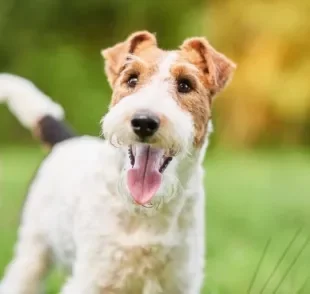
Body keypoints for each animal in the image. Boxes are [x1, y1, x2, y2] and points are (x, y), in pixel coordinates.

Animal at [0, 31, 235, 292]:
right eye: (132, 79)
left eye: (185, 84)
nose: (144, 121)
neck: (145, 210)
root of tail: (66, 140)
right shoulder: (92, 279)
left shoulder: (180, 281)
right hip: (33, 249)